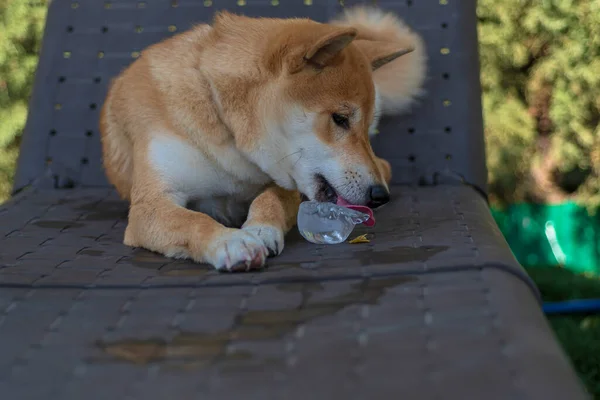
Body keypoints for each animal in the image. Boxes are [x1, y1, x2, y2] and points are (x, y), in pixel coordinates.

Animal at [99, 7, 426, 272]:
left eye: (367, 125)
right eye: (340, 119)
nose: (379, 196)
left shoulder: (288, 182)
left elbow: (270, 200)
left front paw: (260, 229)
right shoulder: (150, 206)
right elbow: (194, 220)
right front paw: (230, 242)